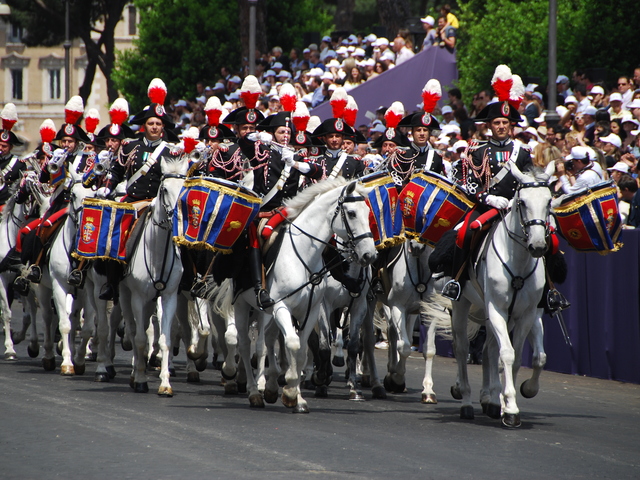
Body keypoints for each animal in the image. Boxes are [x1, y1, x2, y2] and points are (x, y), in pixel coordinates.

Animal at [118, 156, 189, 396]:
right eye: (164, 189)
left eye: (185, 187)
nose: (177, 217)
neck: (156, 251)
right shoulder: (138, 298)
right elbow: (140, 339)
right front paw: (140, 379)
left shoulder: (169, 297)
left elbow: (165, 340)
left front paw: (165, 383)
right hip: (125, 296)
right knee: (133, 331)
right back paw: (133, 374)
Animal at [234, 180, 376, 412]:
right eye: (352, 213)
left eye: (369, 214)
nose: (369, 255)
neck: (304, 255)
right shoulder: (285, 306)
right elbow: (294, 343)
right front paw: (293, 388)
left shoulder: (315, 310)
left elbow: (301, 351)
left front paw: (296, 397)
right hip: (243, 305)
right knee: (247, 345)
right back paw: (254, 391)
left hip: (266, 313)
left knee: (267, 340)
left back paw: (270, 386)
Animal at [450, 166, 552, 428]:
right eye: (522, 202)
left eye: (549, 202)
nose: (538, 246)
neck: (518, 263)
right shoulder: (496, 309)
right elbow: (506, 353)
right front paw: (511, 408)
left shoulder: (526, 314)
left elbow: (520, 358)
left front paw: (514, 399)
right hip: (462, 305)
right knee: (462, 349)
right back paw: (466, 401)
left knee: (488, 349)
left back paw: (492, 400)